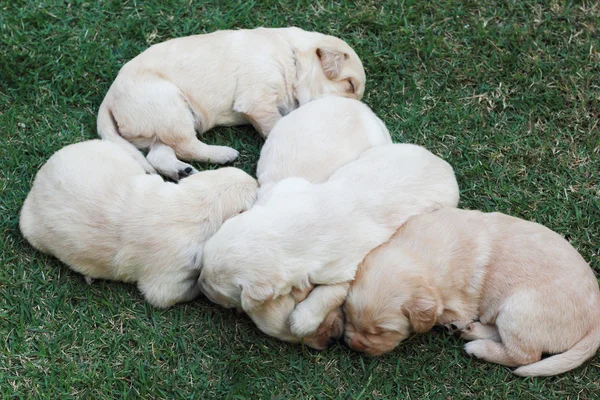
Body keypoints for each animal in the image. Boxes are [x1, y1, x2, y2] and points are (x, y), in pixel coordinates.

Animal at [18, 139, 258, 308]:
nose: (254, 180)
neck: (199, 204)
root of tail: (37, 182)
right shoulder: (166, 283)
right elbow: (181, 291)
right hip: (32, 231)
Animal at [98, 26, 366, 180]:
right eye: (349, 85)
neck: (292, 59)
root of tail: (108, 99)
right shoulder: (258, 99)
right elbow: (276, 123)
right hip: (170, 105)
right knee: (186, 145)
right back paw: (223, 154)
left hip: (159, 124)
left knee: (160, 154)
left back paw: (184, 171)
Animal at [342, 208, 600, 376]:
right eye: (348, 318)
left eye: (382, 332)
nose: (354, 345)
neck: (418, 253)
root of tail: (595, 320)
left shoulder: (458, 303)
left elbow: (443, 313)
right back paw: (470, 331)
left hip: (519, 311)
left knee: (525, 355)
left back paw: (477, 347)